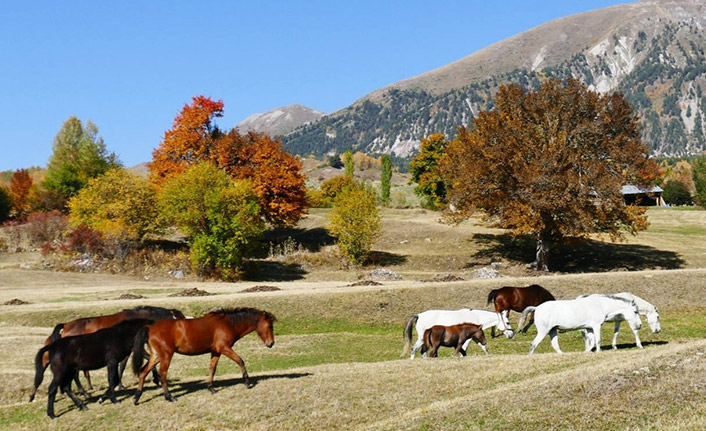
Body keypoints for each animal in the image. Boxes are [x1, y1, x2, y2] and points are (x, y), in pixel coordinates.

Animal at [132, 308, 276, 404]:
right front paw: (247, 382)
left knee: (143, 372)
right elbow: (240, 361)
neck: (228, 324)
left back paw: (137, 397)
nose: (271, 343)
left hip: (156, 356)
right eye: (270, 326)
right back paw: (169, 397)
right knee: (162, 374)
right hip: (166, 355)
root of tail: (150, 327)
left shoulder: (216, 351)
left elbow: (212, 368)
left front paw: (211, 388)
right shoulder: (224, 348)